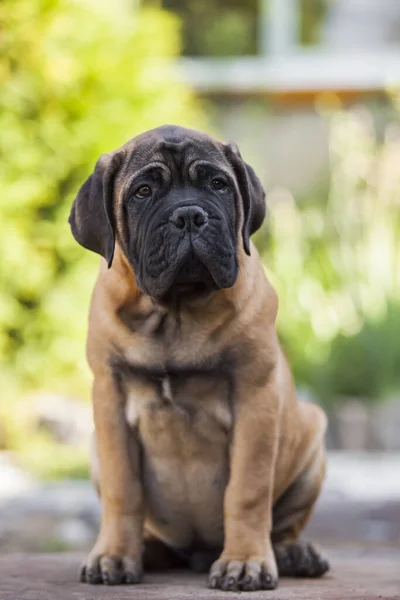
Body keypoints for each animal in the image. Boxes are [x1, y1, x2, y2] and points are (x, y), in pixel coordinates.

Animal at [70, 123, 330, 592]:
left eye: (218, 185)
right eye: (143, 191)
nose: (190, 215)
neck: (175, 313)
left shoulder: (255, 401)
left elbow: (247, 491)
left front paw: (245, 563)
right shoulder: (110, 402)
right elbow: (122, 490)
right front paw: (114, 555)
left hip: (312, 438)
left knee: (283, 524)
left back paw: (293, 552)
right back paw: (145, 550)